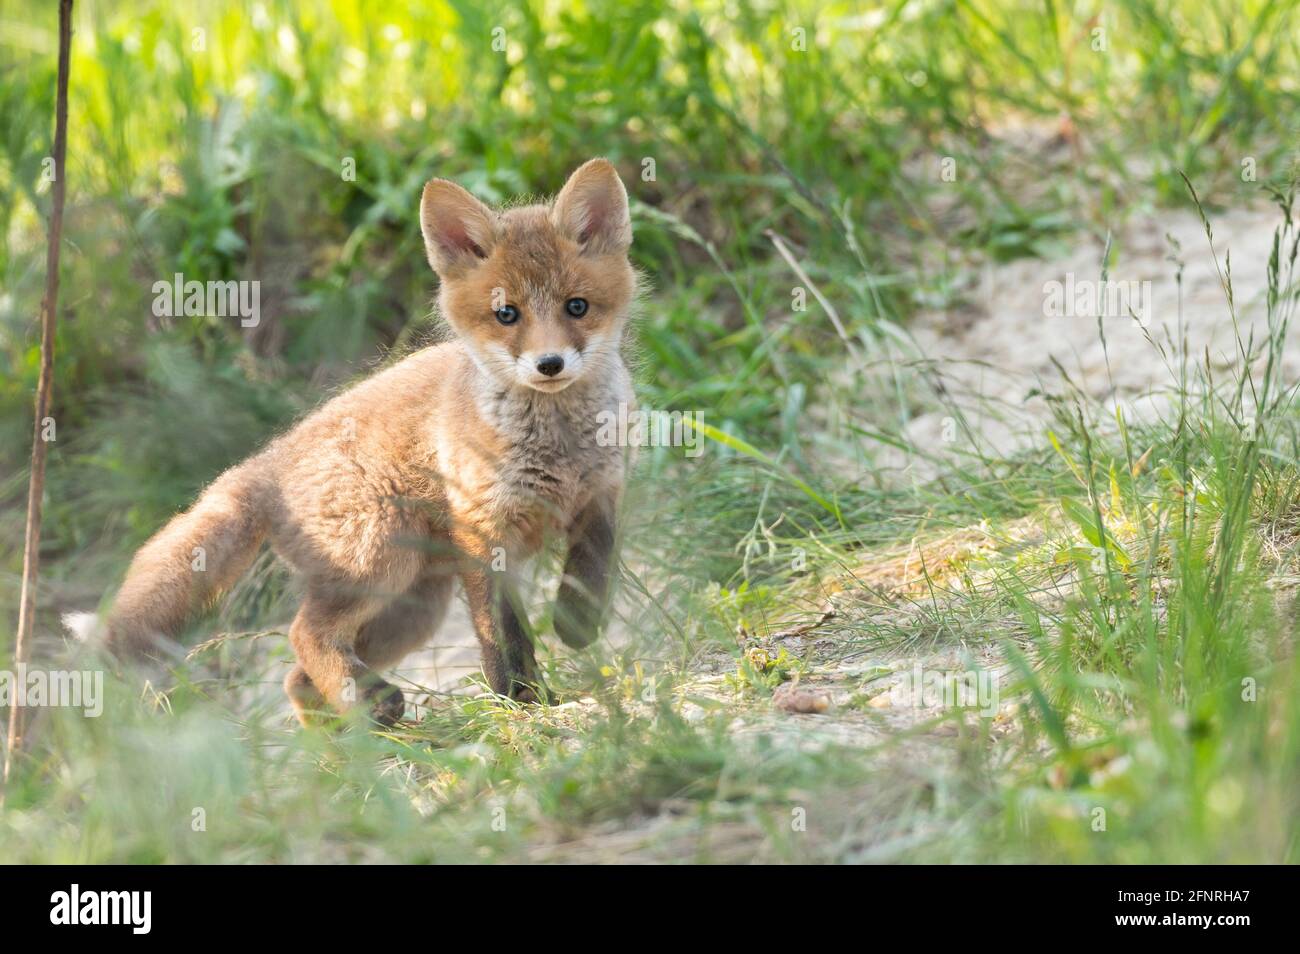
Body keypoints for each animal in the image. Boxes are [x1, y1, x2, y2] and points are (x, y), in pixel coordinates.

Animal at [76, 158, 638, 726]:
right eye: (507, 314)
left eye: (577, 306)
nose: (550, 364)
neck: (558, 449)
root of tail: (266, 459)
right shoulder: (482, 531)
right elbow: (501, 638)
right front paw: (519, 702)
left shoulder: (603, 491)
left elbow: (592, 569)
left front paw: (575, 625)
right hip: (379, 563)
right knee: (305, 634)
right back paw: (367, 708)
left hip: (414, 608)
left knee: (296, 679)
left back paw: (350, 738)